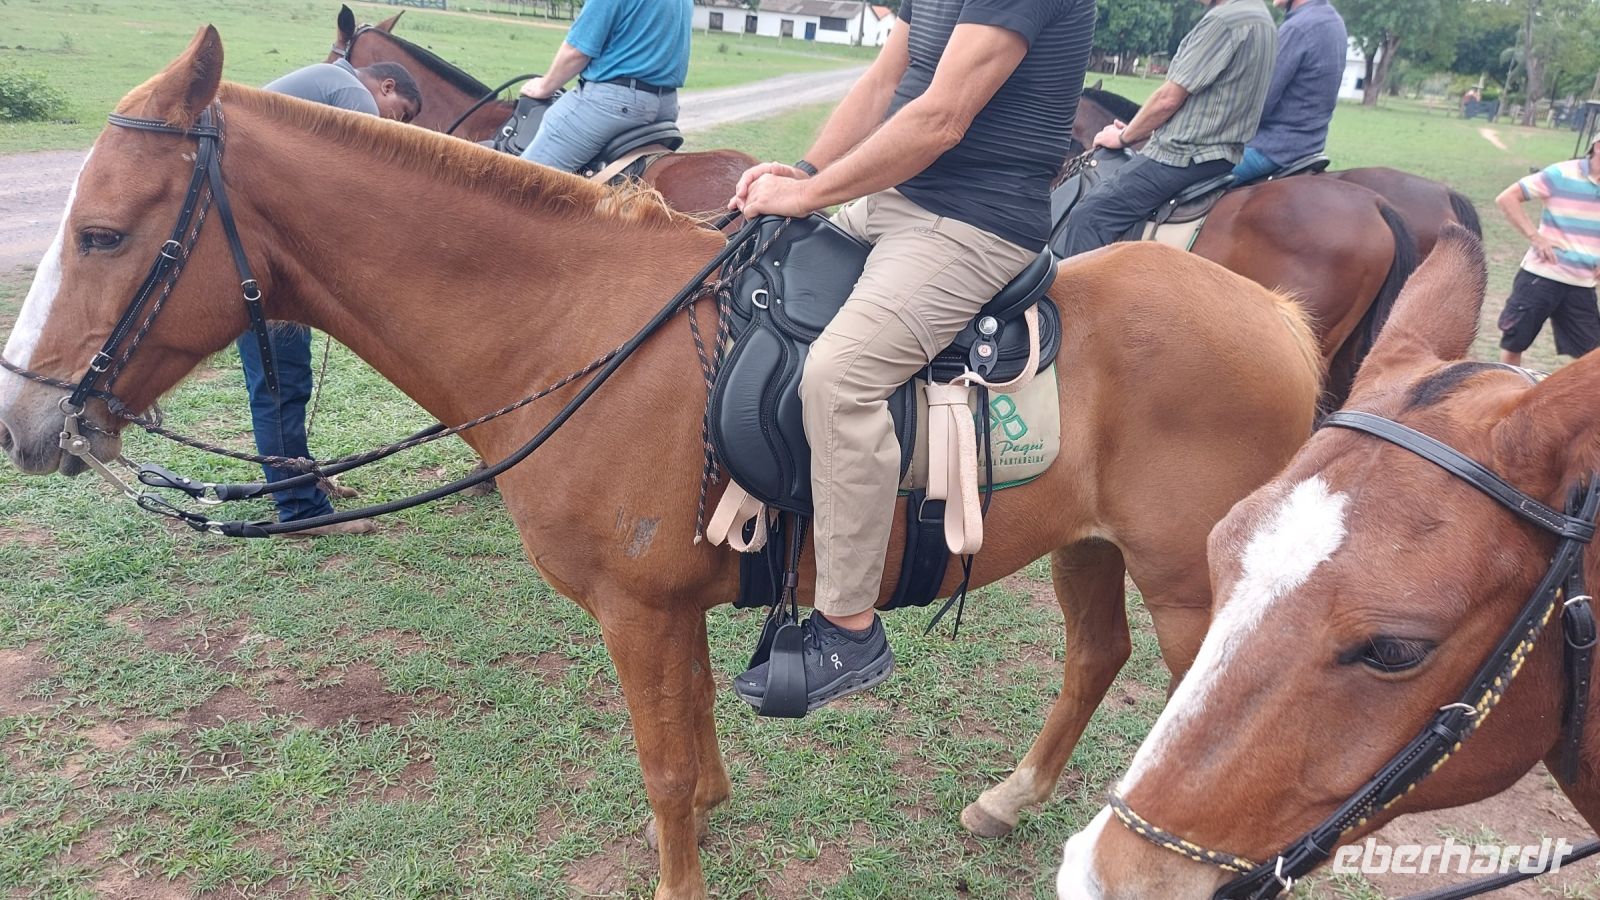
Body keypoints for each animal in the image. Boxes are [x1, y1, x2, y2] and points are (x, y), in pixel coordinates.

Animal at [0, 29, 1326, 899]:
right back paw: (1009, 799)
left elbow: (663, 766)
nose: (25, 421)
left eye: (103, 234)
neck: (577, 328)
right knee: (1093, 657)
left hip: (1190, 584)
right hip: (1090, 548)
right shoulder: (675, 604)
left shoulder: (634, 611)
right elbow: (690, 734)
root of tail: (1275, 316)